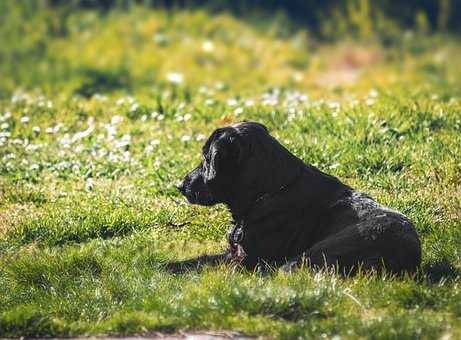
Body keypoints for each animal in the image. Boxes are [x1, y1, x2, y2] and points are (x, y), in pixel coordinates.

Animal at [173, 121, 420, 274]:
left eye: (206, 158)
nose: (180, 186)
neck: (269, 190)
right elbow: (197, 260)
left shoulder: (246, 259)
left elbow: (207, 265)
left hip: (310, 255)